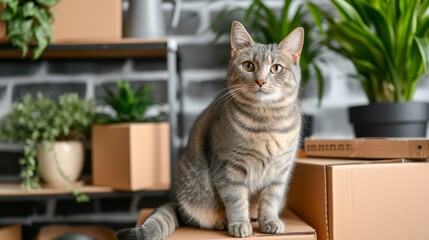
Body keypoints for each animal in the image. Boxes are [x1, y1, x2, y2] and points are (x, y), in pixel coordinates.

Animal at [117, 21, 302, 240]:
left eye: (276, 68)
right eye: (248, 66)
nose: (261, 81)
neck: (266, 122)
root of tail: (176, 203)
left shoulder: (279, 172)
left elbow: (271, 200)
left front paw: (269, 222)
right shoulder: (229, 168)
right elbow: (236, 200)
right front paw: (240, 224)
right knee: (193, 217)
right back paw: (222, 222)